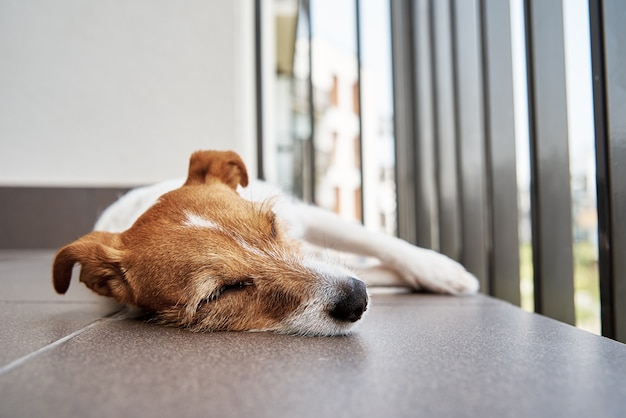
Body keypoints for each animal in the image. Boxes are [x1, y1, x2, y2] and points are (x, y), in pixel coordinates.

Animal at [52, 150, 478, 336]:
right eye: (220, 293)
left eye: (272, 226)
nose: (357, 299)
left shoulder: (306, 216)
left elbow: (379, 241)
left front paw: (440, 270)